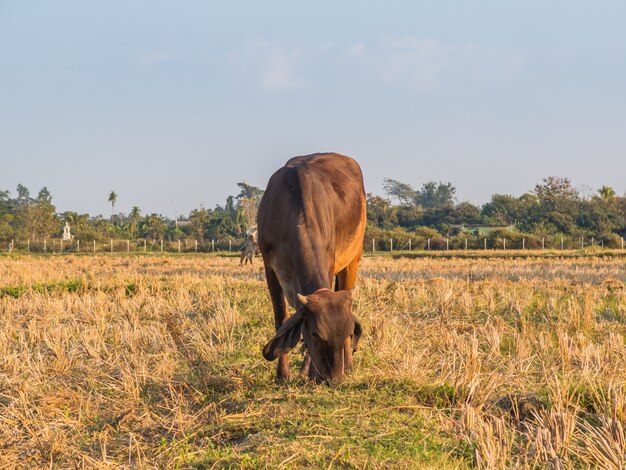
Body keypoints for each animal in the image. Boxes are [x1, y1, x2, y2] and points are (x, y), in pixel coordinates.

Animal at [258, 153, 366, 382]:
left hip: (353, 258)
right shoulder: (269, 267)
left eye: (348, 333)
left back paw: (345, 366)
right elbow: (281, 318)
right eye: (316, 334)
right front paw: (282, 374)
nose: (334, 378)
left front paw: (311, 373)